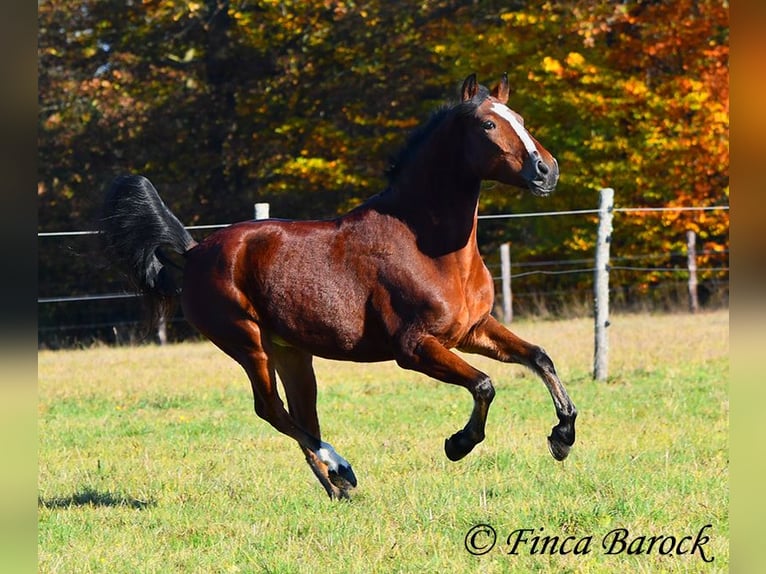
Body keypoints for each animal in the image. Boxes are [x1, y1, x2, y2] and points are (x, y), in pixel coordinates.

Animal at [103, 75, 584, 500]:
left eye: (520, 117)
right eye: (488, 124)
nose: (546, 171)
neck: (429, 246)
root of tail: (193, 252)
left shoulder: (471, 329)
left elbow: (539, 357)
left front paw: (562, 436)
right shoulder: (414, 348)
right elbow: (484, 385)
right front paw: (458, 444)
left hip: (291, 352)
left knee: (300, 415)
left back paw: (339, 486)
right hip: (247, 343)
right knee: (271, 410)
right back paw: (342, 467)